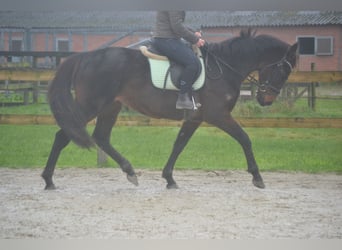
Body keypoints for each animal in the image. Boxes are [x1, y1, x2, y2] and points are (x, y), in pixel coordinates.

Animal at [42, 29, 296, 189]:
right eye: (284, 70)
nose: (266, 99)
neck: (224, 67)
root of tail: (85, 57)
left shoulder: (194, 118)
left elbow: (179, 145)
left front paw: (169, 179)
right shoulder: (218, 115)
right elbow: (245, 139)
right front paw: (257, 177)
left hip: (110, 107)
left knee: (101, 137)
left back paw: (130, 172)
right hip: (91, 105)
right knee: (62, 135)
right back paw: (48, 180)